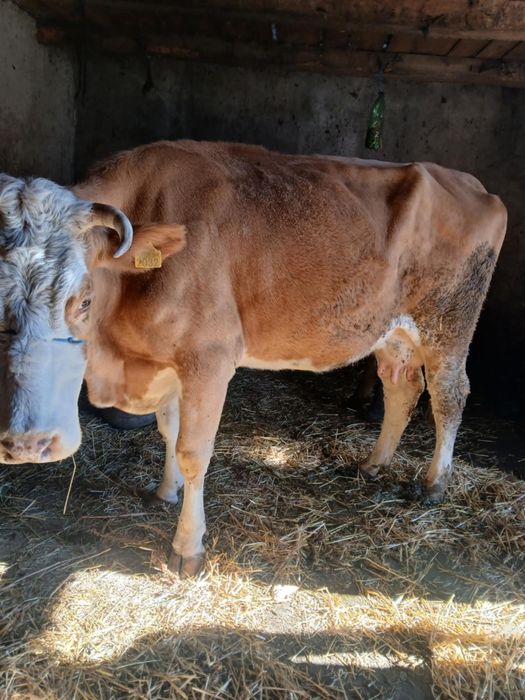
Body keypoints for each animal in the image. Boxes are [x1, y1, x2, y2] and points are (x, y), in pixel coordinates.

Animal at [0, 141, 507, 576]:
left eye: (84, 301)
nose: (29, 444)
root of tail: (474, 185)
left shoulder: (210, 358)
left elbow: (193, 451)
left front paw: (188, 547)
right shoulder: (167, 361)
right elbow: (169, 431)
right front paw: (166, 491)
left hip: (449, 324)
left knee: (448, 397)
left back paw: (434, 483)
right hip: (390, 329)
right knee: (403, 387)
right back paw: (373, 463)